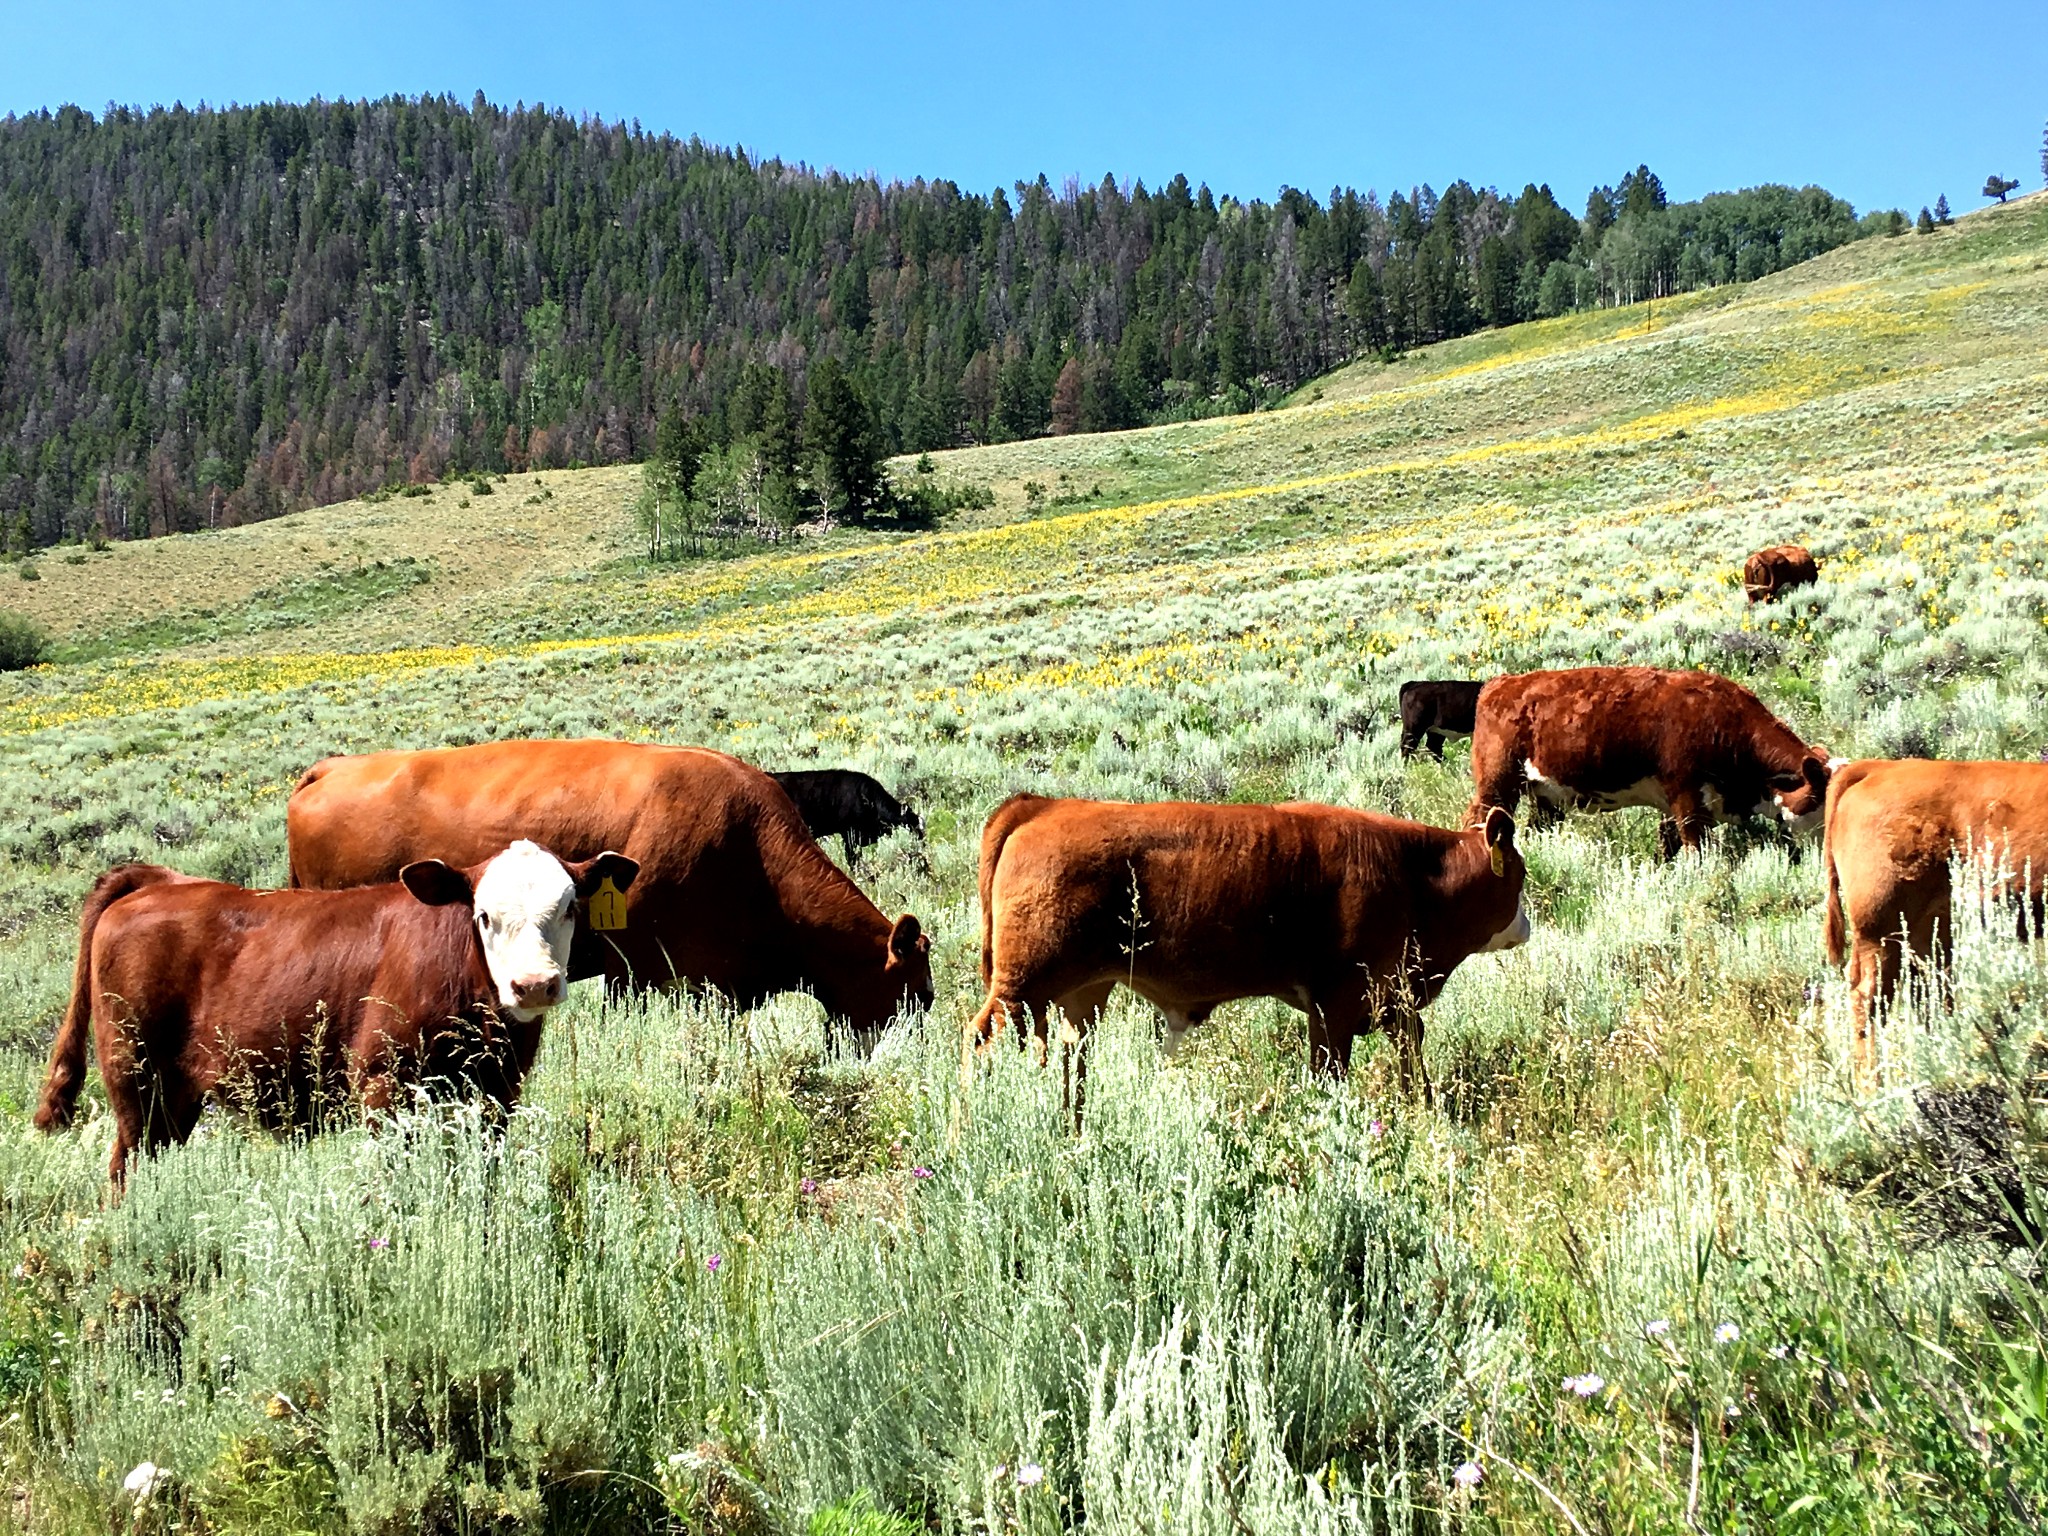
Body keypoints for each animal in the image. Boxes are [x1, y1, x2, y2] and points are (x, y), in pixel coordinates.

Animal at [34, 843, 630, 1187]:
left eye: (570, 907)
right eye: (484, 915)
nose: (533, 984)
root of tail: (160, 883)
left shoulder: (499, 1093)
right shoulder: (383, 1085)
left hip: (175, 1099)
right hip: (134, 1081)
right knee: (124, 1169)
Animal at [1466, 667, 1835, 860]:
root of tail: (1502, 683)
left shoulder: (1676, 806)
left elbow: (1667, 844)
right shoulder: (1688, 800)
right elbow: (1694, 848)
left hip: (1547, 797)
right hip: (1498, 784)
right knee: (1479, 818)